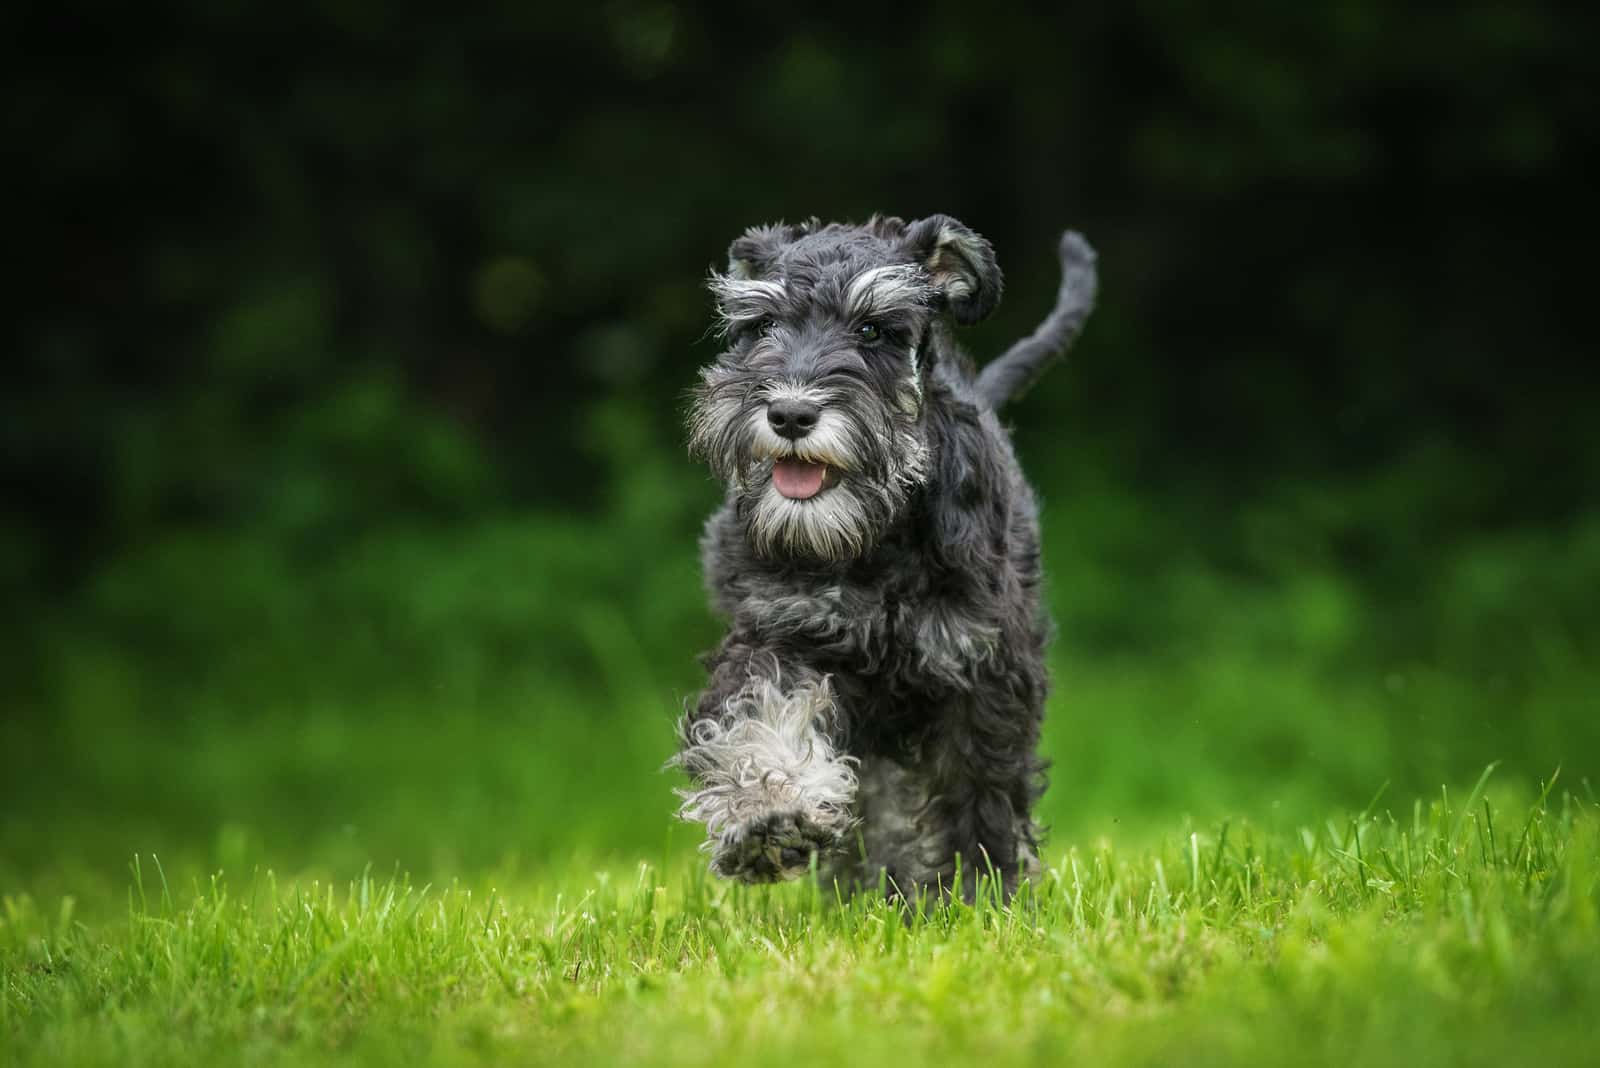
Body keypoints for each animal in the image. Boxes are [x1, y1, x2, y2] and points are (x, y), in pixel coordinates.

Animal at [675, 212, 1100, 895]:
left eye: (872, 329)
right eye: (761, 325)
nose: (789, 413)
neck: (873, 540)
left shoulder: (981, 668)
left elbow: (980, 789)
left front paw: (981, 891)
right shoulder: (780, 633)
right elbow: (759, 716)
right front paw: (768, 817)